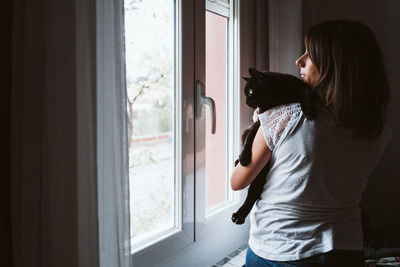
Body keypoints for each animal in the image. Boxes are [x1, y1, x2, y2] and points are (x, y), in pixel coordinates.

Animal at [231, 68, 318, 225]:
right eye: (246, 93)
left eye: (250, 91)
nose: (246, 102)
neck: (276, 98)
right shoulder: (259, 121)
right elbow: (249, 140)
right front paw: (244, 157)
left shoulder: (303, 88)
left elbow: (307, 95)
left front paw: (309, 111)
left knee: (253, 192)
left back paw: (239, 216)